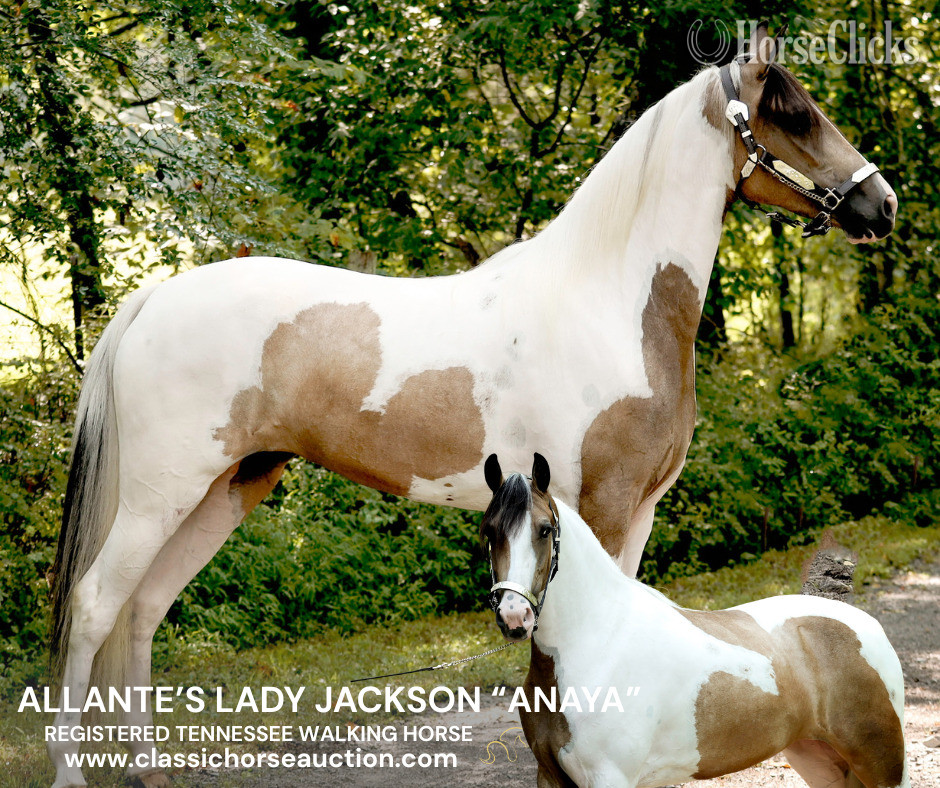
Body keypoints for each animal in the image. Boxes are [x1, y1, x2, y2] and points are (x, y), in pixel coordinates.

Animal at [481, 454, 909, 788]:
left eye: (544, 530)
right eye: (489, 531)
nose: (515, 616)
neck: (596, 642)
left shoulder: (610, 777)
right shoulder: (550, 775)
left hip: (881, 761)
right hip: (820, 757)